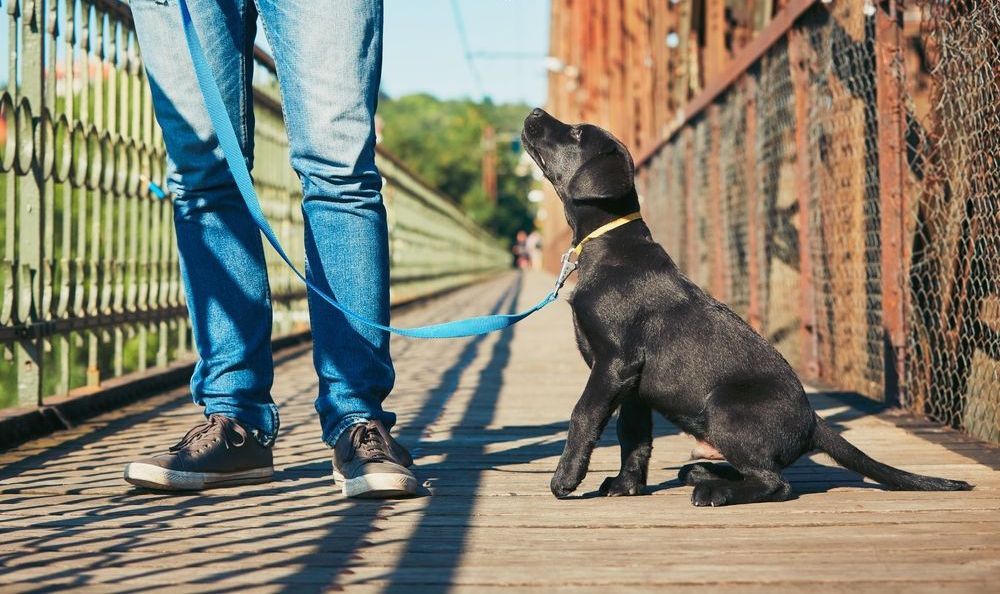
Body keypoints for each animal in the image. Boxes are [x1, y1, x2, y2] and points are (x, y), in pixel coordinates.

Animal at [520, 108, 972, 506]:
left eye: (577, 132)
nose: (536, 111)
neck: (608, 244)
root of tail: (813, 420)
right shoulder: (632, 383)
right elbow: (633, 436)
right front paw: (626, 486)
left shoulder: (615, 362)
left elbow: (583, 415)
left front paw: (565, 479)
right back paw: (704, 473)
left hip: (725, 408)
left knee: (776, 483)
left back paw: (715, 491)